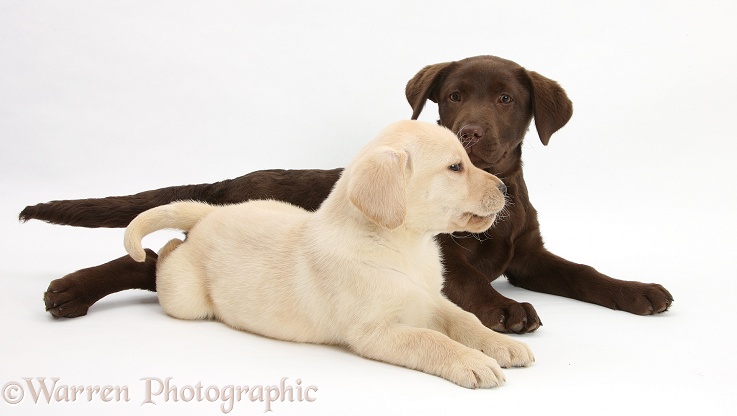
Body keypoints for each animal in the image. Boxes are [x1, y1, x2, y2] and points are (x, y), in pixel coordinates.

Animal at [123, 119, 532, 386]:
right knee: (169, 260)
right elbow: (431, 340)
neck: (404, 246)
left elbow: (467, 320)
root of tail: (211, 213)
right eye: (455, 167)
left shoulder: (430, 300)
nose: (504, 188)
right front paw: (472, 361)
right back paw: (166, 248)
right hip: (186, 299)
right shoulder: (376, 332)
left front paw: (502, 345)